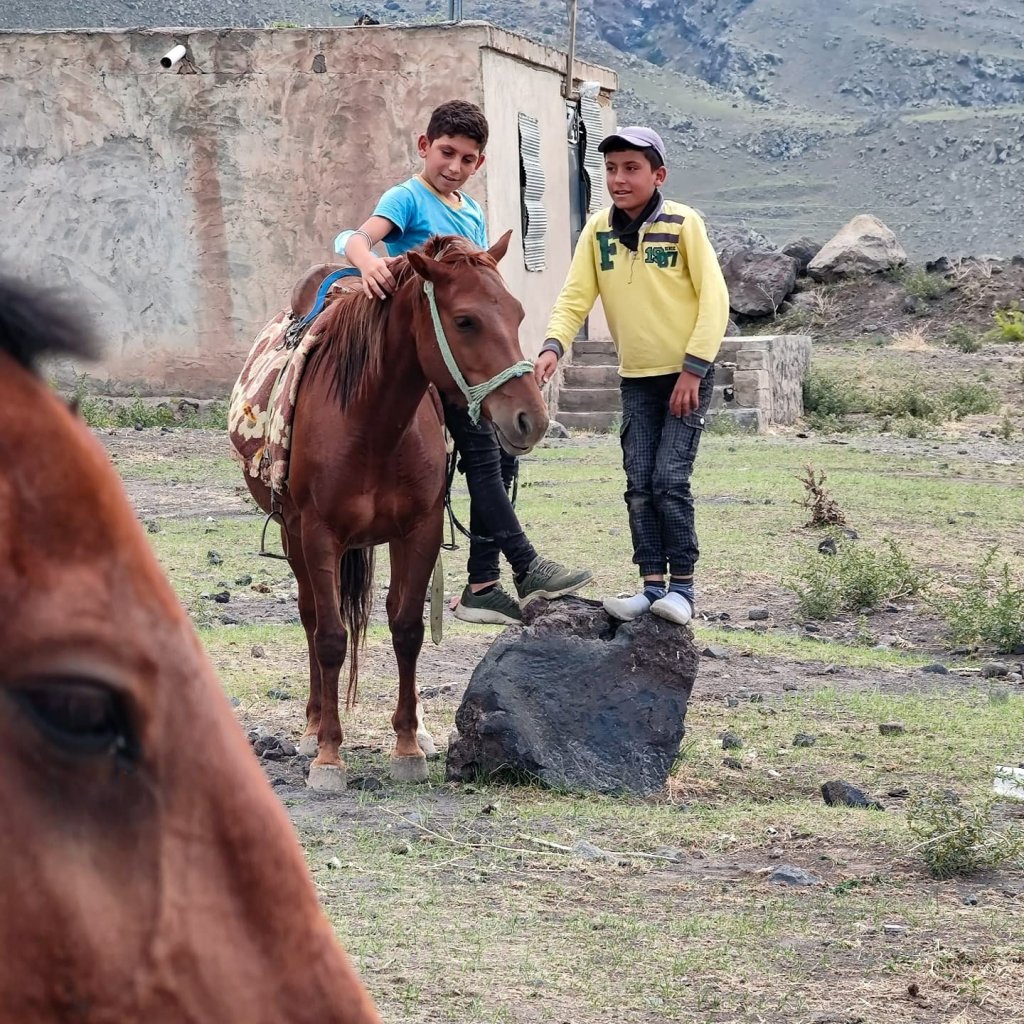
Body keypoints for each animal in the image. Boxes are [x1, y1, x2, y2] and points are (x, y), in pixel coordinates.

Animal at [233, 232, 548, 791]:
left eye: (516, 313)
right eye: (465, 321)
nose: (530, 418)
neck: (371, 422)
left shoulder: (417, 532)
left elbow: (407, 628)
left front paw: (407, 745)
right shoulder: (319, 535)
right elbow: (331, 637)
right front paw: (329, 755)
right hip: (294, 537)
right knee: (311, 618)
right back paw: (312, 727)